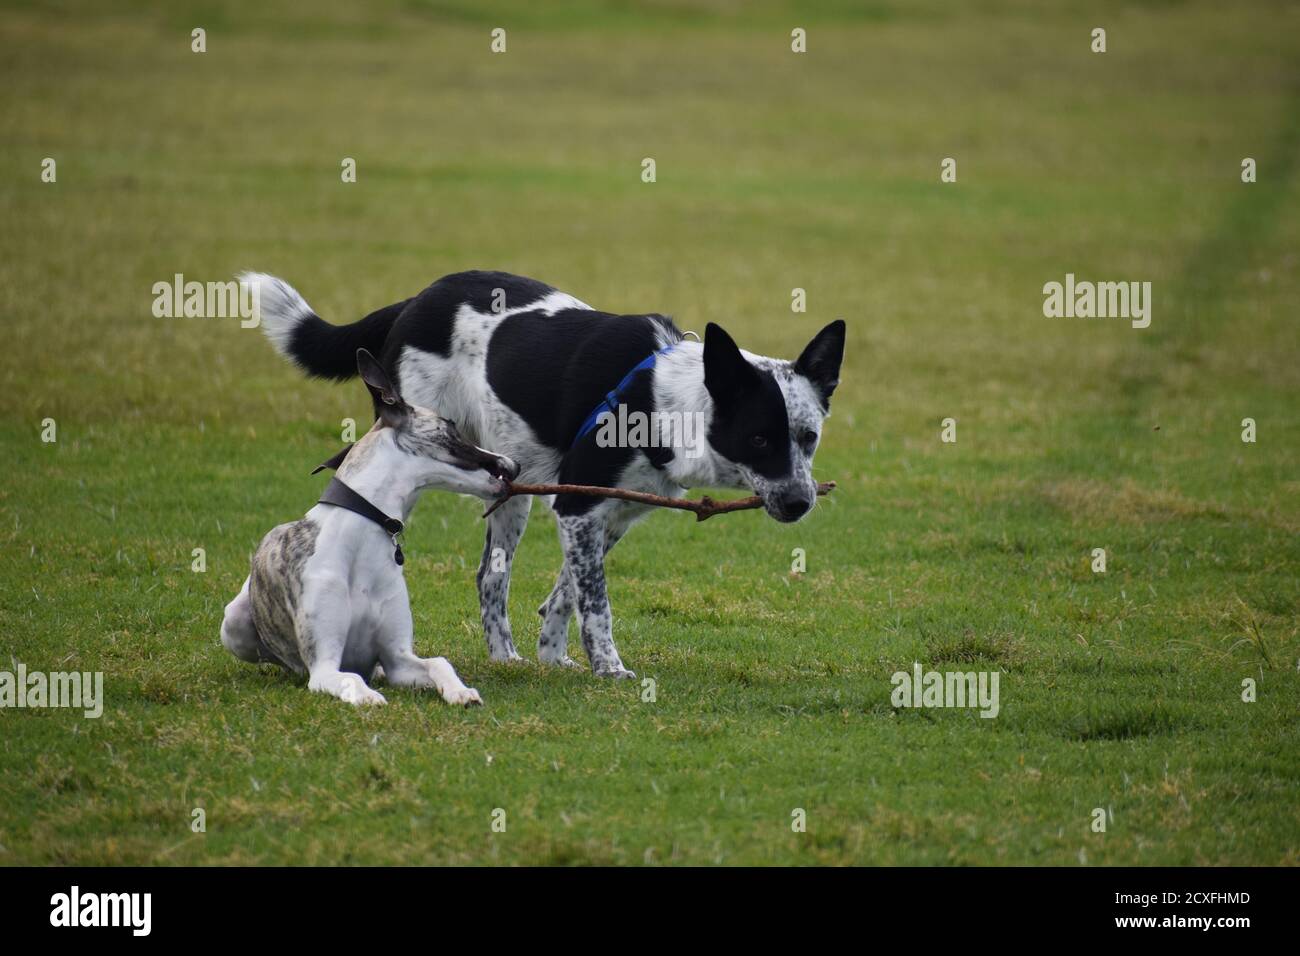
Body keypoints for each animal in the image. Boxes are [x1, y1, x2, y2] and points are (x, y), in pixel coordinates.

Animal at [218, 348, 517, 702]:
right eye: (451, 427)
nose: (515, 465)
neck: (360, 536)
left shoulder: (398, 659)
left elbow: (439, 662)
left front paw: (460, 692)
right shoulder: (325, 666)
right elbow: (349, 678)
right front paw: (368, 698)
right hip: (233, 622)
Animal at [244, 270, 847, 681]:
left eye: (808, 437)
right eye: (760, 439)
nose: (800, 502)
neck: (669, 403)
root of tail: (415, 300)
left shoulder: (609, 512)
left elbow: (569, 590)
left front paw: (553, 657)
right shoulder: (579, 505)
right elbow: (596, 603)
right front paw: (610, 670)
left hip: (511, 483)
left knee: (490, 575)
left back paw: (505, 657)